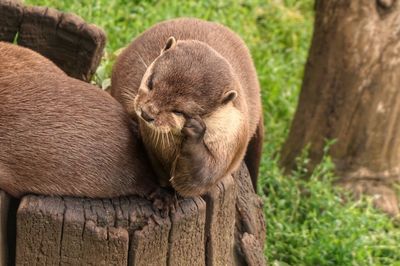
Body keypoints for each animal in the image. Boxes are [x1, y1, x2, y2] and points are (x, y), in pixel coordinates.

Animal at [111, 17, 264, 196]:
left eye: (179, 111)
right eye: (150, 83)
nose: (146, 113)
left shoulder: (232, 140)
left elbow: (201, 178)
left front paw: (195, 130)